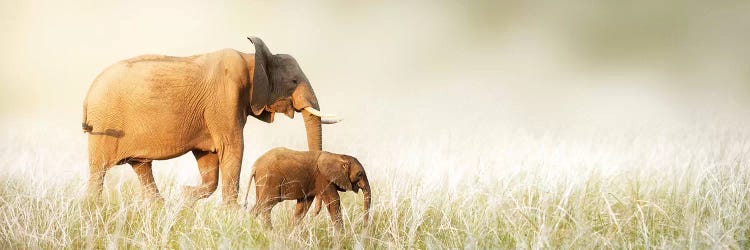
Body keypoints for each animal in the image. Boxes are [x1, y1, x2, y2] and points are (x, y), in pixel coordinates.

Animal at [83, 36, 340, 206]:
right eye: (294, 81)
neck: (252, 59)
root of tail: (88, 94)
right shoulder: (225, 99)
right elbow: (233, 148)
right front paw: (233, 215)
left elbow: (208, 160)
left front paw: (185, 195)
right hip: (105, 126)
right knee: (99, 171)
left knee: (142, 168)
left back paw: (160, 206)